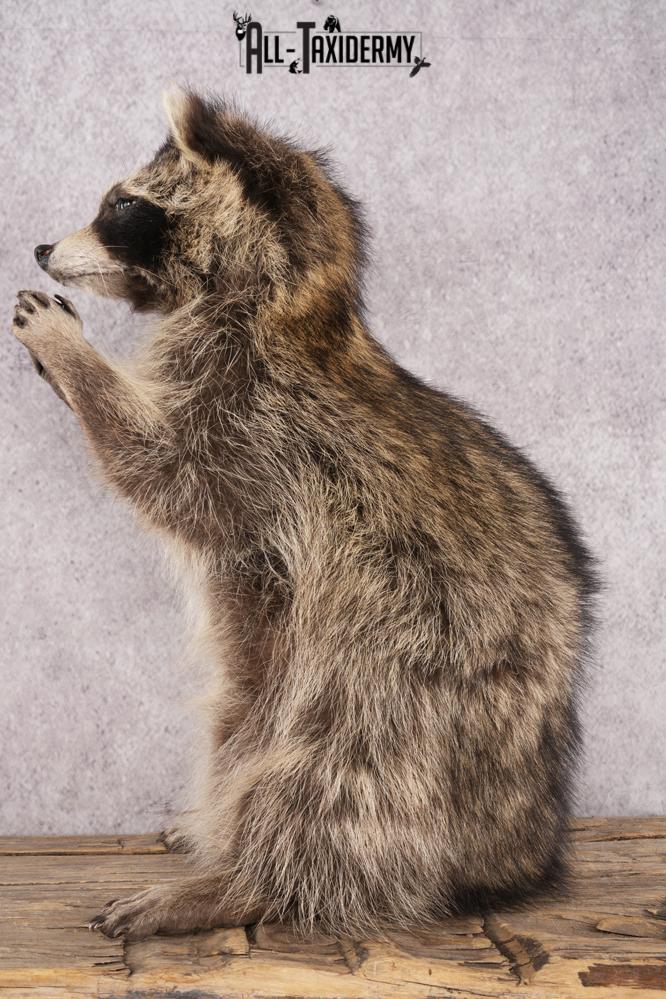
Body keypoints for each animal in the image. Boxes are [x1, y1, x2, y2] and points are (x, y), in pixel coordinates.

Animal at [11, 88, 595, 941]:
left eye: (122, 205)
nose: (43, 247)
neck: (285, 305)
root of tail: (512, 837)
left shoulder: (262, 428)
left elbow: (166, 474)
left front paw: (78, 362)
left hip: (407, 675)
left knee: (334, 775)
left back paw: (244, 881)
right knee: (242, 715)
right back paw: (220, 823)